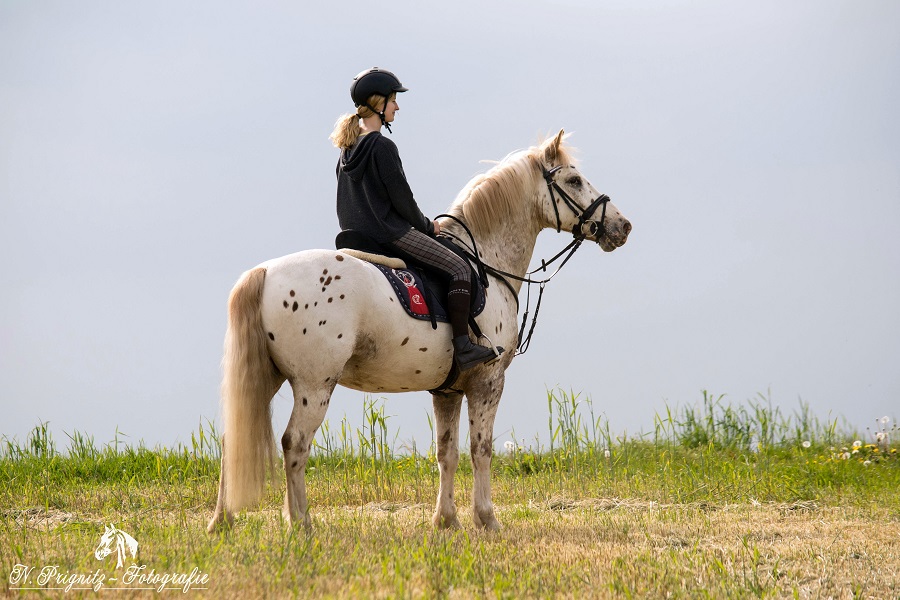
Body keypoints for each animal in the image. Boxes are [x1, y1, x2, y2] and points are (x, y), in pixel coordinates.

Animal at [207, 129, 628, 532]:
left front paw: (447, 520)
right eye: (573, 180)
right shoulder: (488, 382)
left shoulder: (447, 391)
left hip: (267, 377)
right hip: (315, 384)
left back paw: (222, 521)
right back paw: (301, 523)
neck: (487, 263)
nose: (622, 226)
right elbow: (481, 450)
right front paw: (487, 520)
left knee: (234, 439)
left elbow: (447, 453)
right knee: (295, 444)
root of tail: (265, 271)